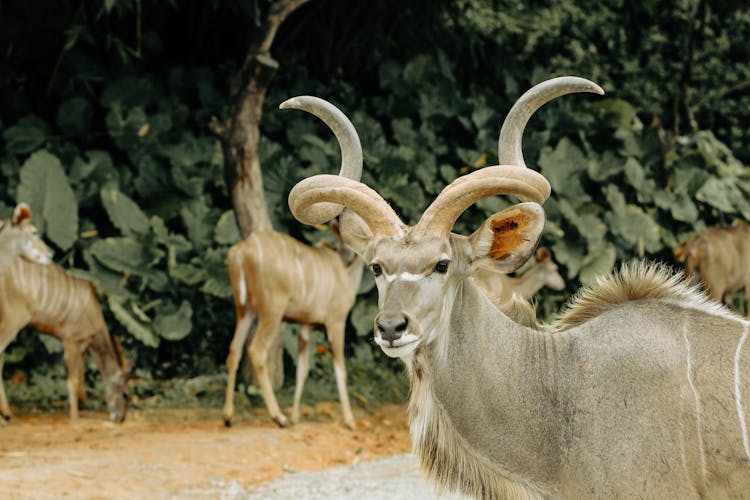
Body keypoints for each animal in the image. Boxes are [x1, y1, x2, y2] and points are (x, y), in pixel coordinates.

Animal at [0, 203, 134, 422]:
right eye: (125, 394)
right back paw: (7, 415)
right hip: (14, 320)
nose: (120, 418)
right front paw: (74, 418)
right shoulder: (71, 340)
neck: (94, 312)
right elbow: (72, 380)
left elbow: (80, 377)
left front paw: (83, 404)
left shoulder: (82, 345)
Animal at [223, 96, 364, 430]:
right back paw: (278, 417)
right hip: (271, 312)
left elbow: (302, 367)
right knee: (256, 351)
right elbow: (340, 367)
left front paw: (299, 414)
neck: (343, 270)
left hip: (245, 309)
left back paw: (229, 416)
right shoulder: (335, 322)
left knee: (233, 351)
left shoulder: (305, 326)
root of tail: (241, 251)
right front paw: (350, 420)